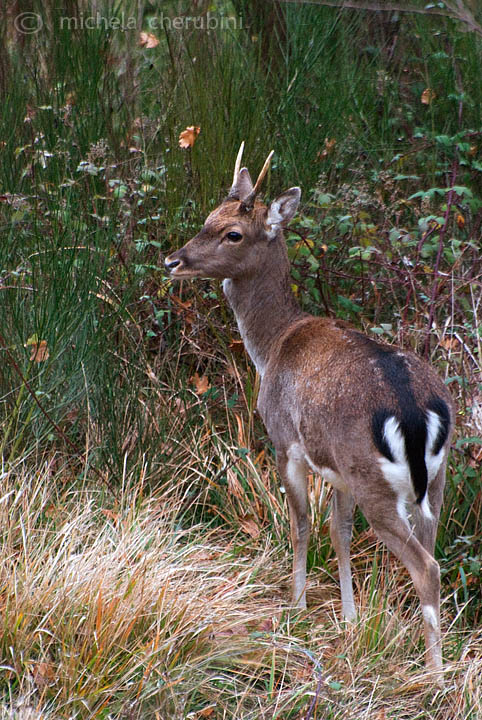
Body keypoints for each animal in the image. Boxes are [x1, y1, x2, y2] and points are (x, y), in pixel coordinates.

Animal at [165, 143, 452, 676]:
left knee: (427, 566)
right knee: (429, 547)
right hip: (430, 480)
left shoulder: (284, 441)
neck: (273, 344)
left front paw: (296, 607)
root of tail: (414, 410)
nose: (174, 260)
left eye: (233, 233)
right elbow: (338, 533)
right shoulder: (337, 469)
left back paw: (436, 675)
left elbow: (300, 525)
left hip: (376, 483)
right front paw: (350, 619)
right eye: (208, 216)